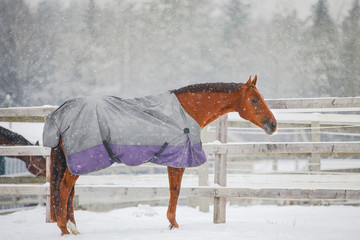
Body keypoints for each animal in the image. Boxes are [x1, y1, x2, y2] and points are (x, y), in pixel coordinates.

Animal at [49, 76, 278, 235]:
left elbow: (172, 190)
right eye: (254, 100)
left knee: (69, 191)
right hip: (80, 162)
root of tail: (62, 113)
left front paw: (171, 225)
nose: (273, 125)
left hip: (73, 163)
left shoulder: (173, 160)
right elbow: (175, 191)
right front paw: (173, 225)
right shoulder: (178, 160)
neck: (186, 111)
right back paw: (64, 229)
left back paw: (73, 227)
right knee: (65, 187)